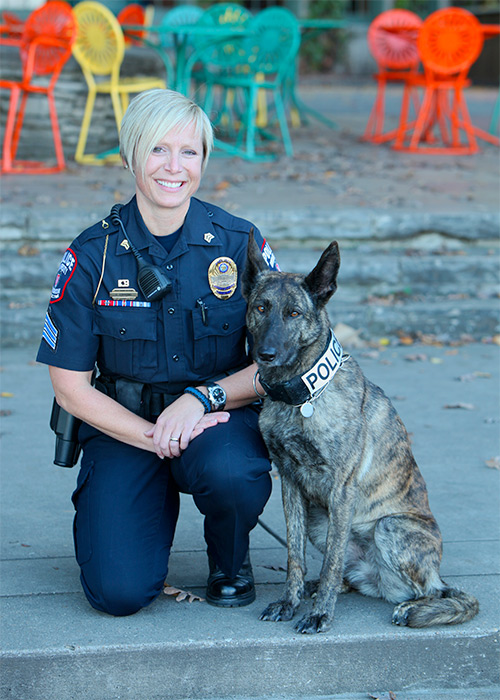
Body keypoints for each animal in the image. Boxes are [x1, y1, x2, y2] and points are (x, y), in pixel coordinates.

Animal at [244, 235, 478, 636]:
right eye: (261, 308)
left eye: (294, 313)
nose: (266, 353)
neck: (303, 395)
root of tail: (377, 580)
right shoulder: (289, 483)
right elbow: (294, 555)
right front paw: (291, 600)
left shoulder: (341, 490)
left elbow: (332, 562)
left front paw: (320, 614)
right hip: (320, 522)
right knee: (344, 576)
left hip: (389, 526)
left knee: (424, 591)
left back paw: (410, 606)